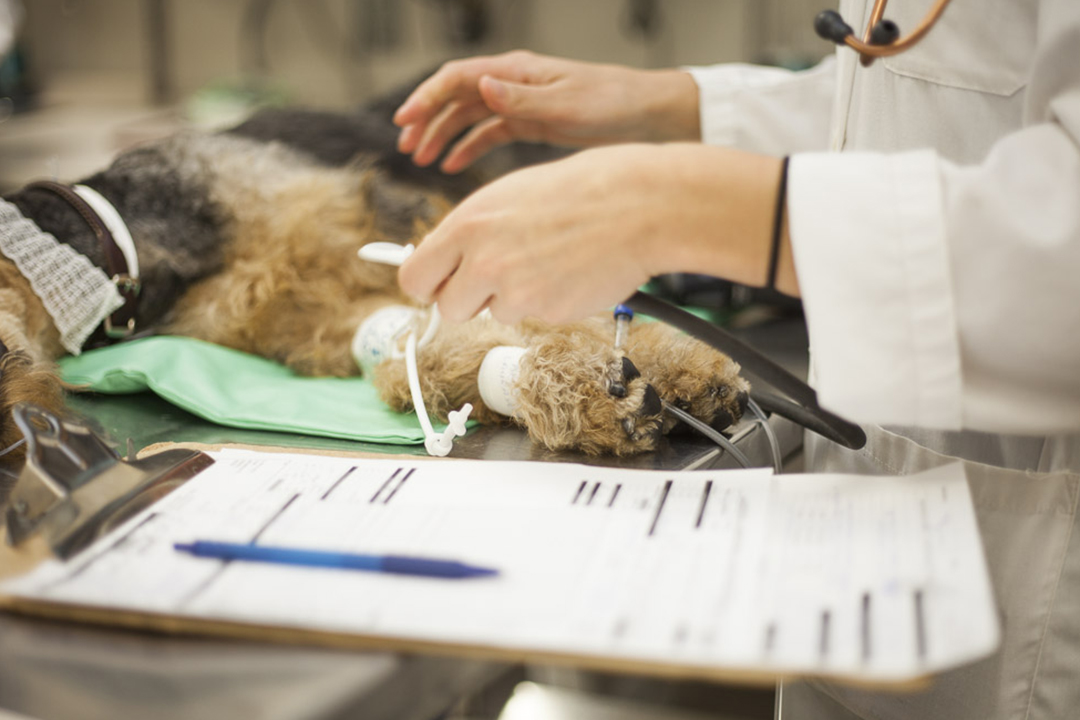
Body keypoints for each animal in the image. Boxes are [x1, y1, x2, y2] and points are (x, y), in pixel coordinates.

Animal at [0, 90, 751, 464]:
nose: (18, 442)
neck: (119, 236)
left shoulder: (430, 231)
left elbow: (573, 312)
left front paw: (676, 373)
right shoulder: (326, 319)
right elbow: (432, 356)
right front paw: (594, 396)